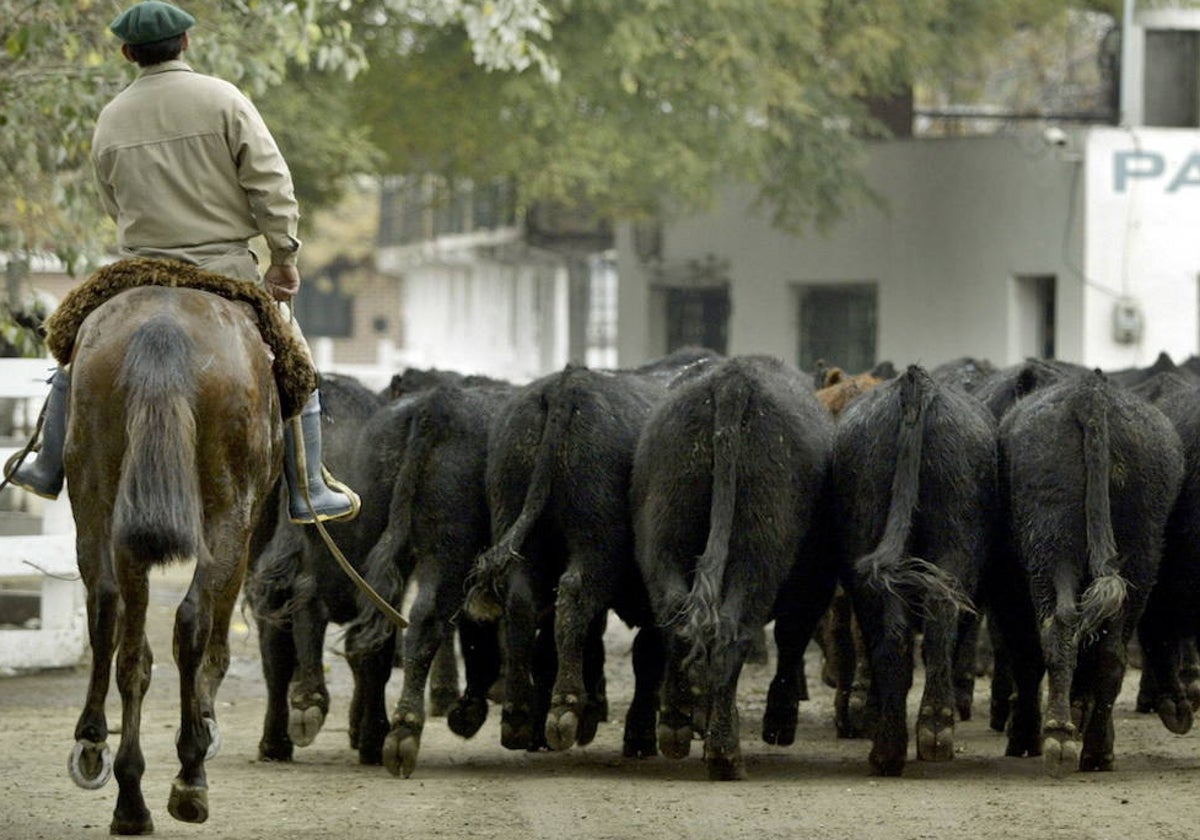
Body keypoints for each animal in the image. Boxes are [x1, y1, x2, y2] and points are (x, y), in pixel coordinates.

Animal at [63, 284, 283, 835]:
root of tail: (163, 327)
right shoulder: (244, 531)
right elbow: (216, 644)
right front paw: (203, 726)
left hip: (98, 496)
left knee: (112, 618)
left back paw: (116, 776)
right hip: (228, 509)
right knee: (192, 620)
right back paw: (189, 775)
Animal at [463, 350, 715, 758]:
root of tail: (565, 387)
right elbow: (647, 654)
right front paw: (640, 733)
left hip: (518, 530)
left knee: (522, 605)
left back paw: (519, 715)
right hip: (594, 541)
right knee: (574, 598)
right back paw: (564, 707)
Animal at [638, 355, 835, 782]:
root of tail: (733, 381)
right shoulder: (814, 585)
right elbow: (792, 641)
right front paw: (780, 722)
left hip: (665, 529)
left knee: (678, 623)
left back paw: (676, 726)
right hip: (758, 551)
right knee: (733, 634)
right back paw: (726, 754)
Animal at [835, 362, 993, 772]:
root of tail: (914, 386)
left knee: (893, 633)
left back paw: (891, 745)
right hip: (953, 544)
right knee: (937, 621)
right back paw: (933, 731)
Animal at [993, 367, 1180, 772]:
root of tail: (1090, 395)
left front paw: (1025, 737)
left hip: (1052, 547)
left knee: (1060, 630)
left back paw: (1060, 735)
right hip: (1139, 553)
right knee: (1107, 650)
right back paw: (1093, 748)